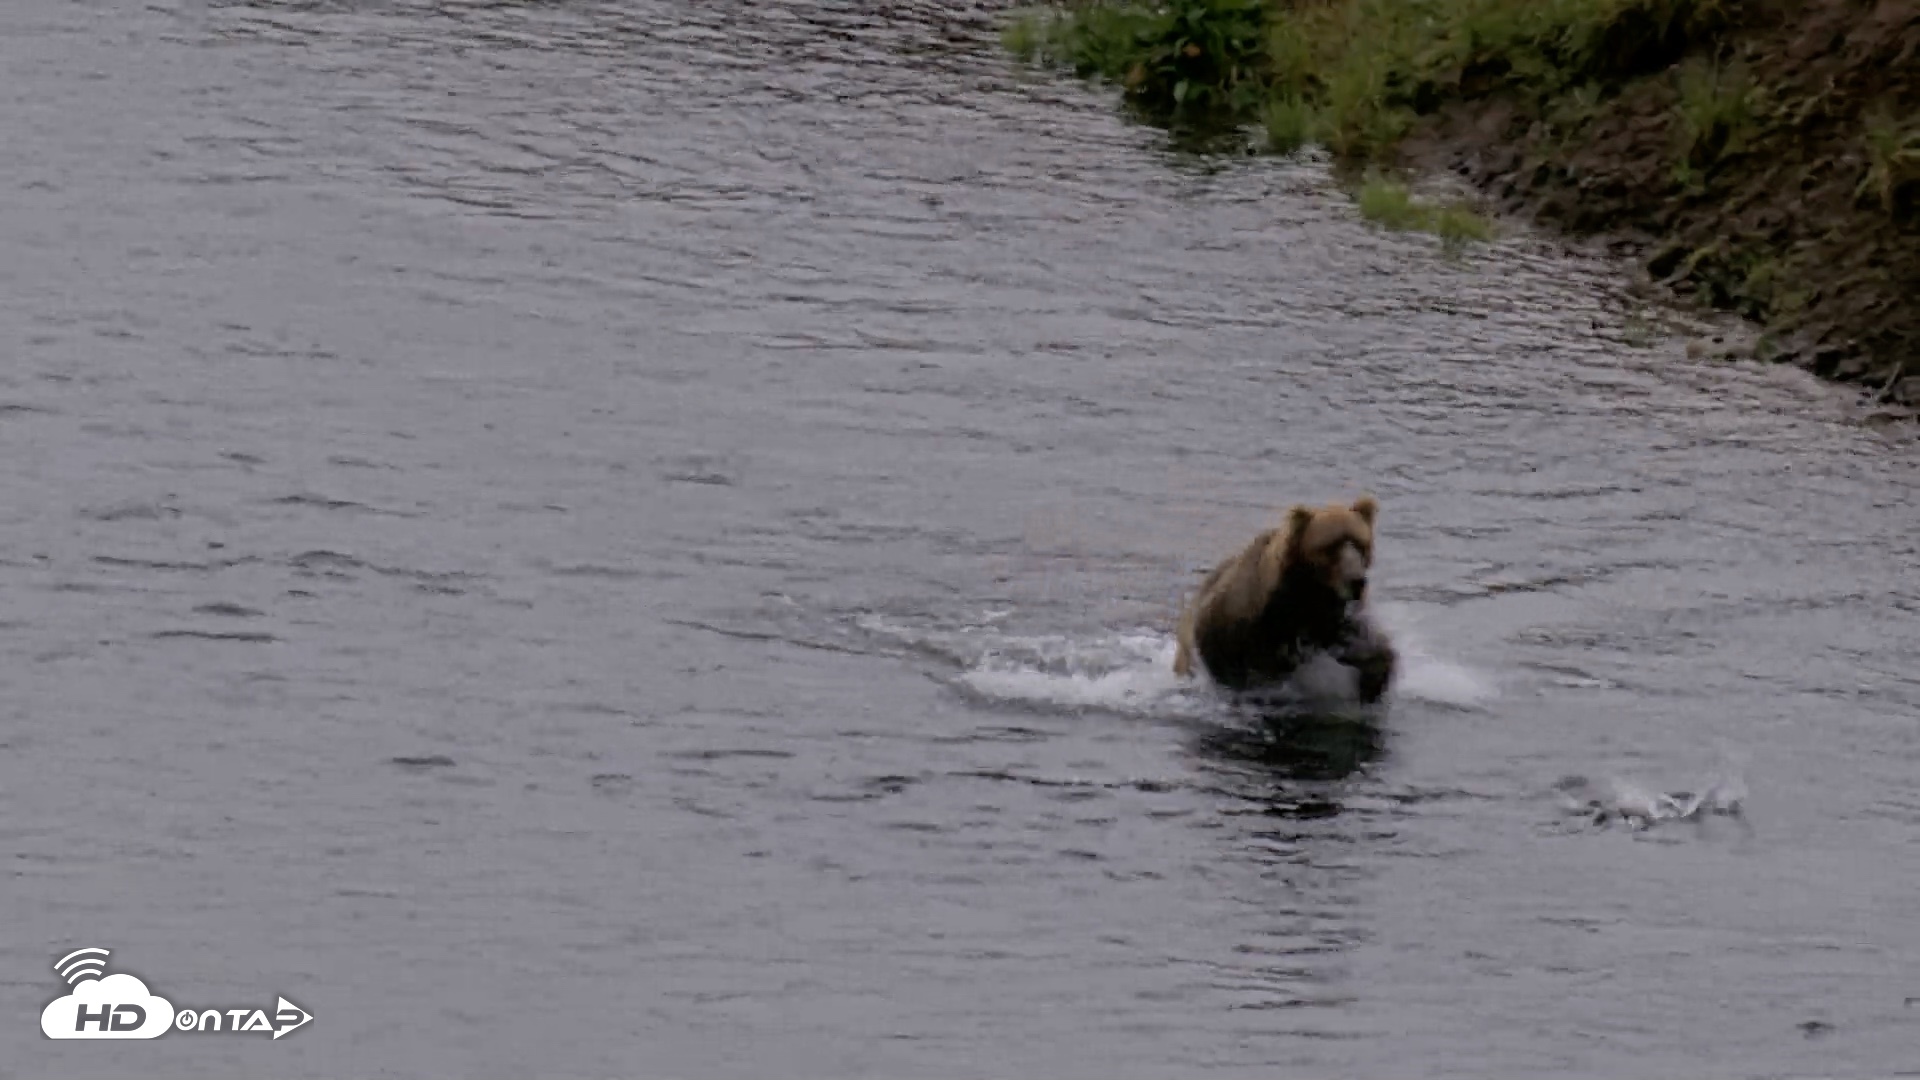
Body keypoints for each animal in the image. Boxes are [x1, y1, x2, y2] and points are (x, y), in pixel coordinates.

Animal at [1172, 494, 1397, 704]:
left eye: (1360, 543)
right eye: (1330, 546)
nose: (1357, 581)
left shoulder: (1334, 617)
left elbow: (1367, 647)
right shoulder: (1244, 620)